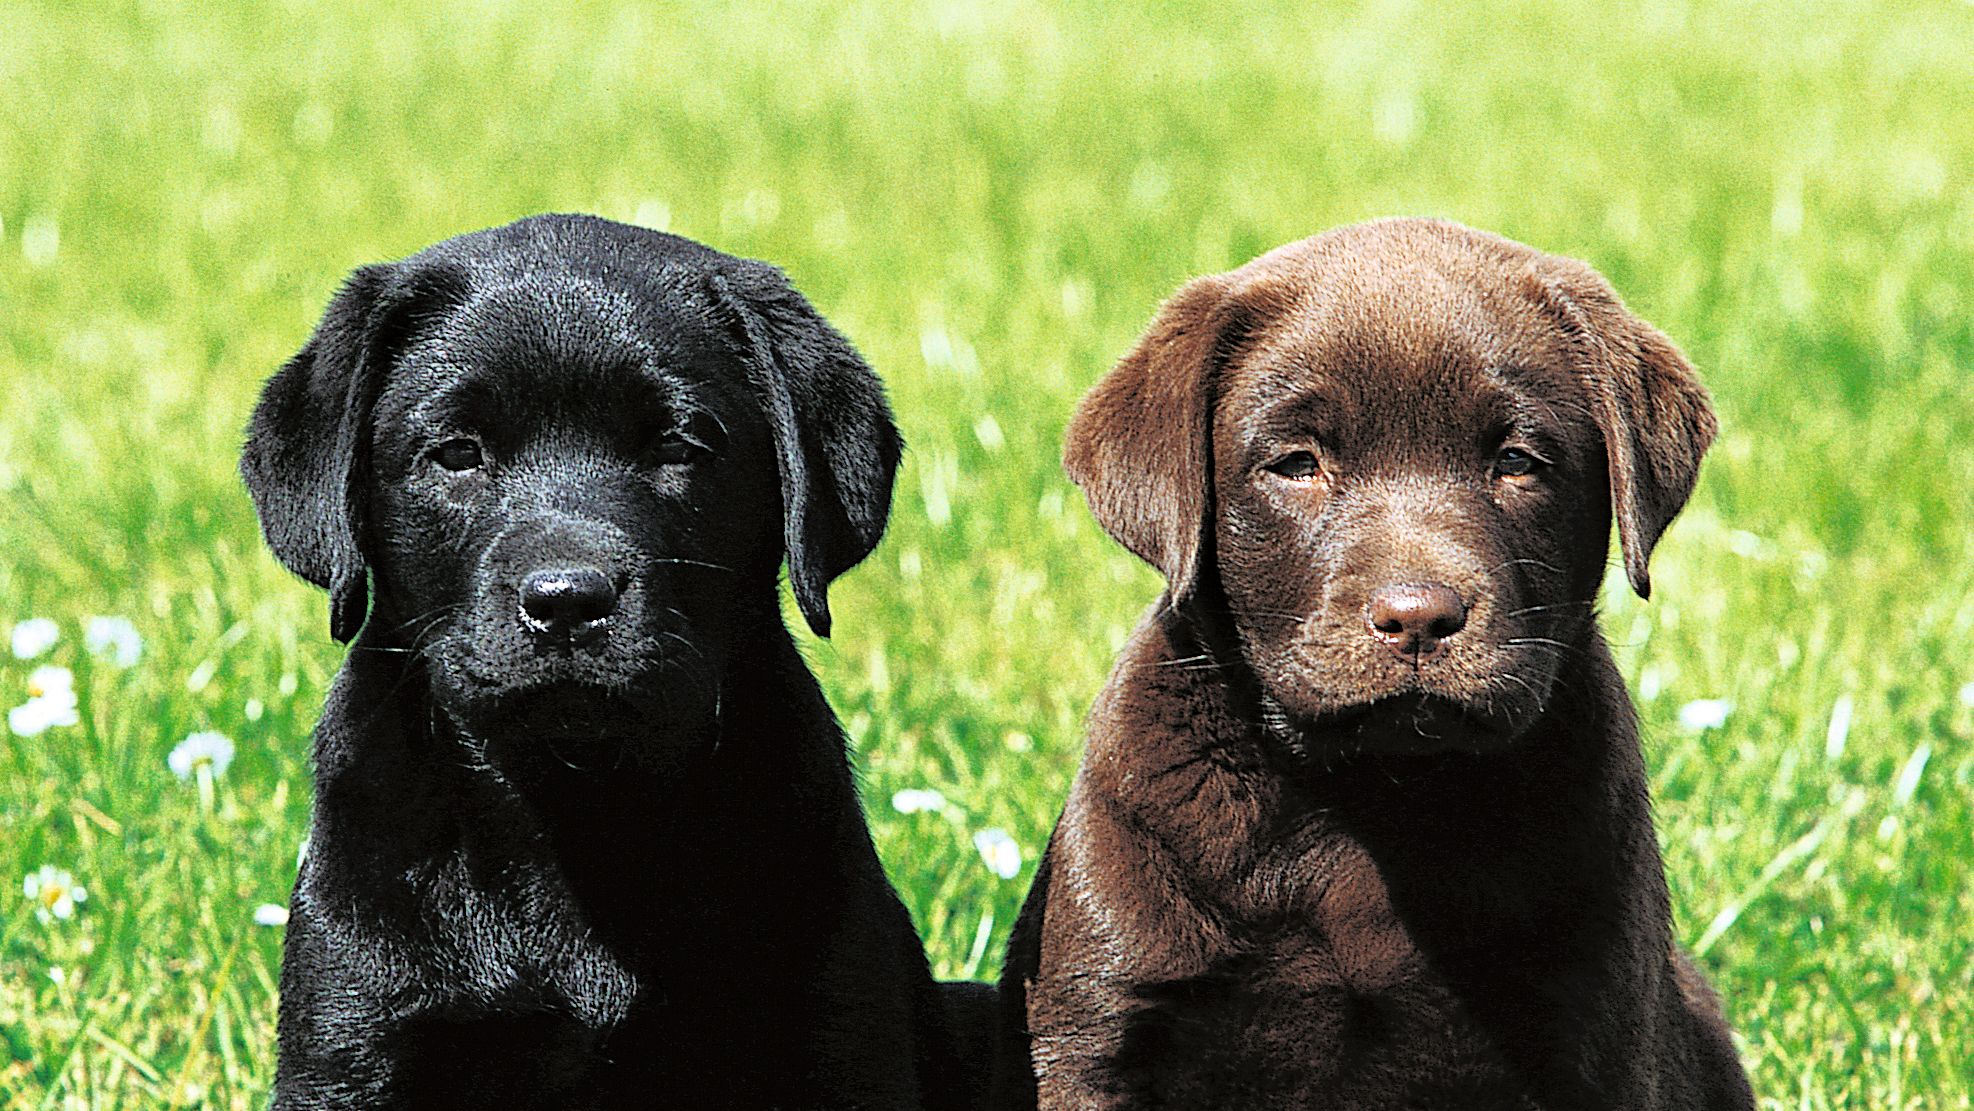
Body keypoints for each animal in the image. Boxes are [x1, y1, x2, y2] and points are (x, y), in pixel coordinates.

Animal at [240, 217, 979, 1111]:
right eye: (456, 452)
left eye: (679, 445)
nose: (566, 599)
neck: (579, 799)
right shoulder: (356, 1040)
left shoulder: (833, 1028)